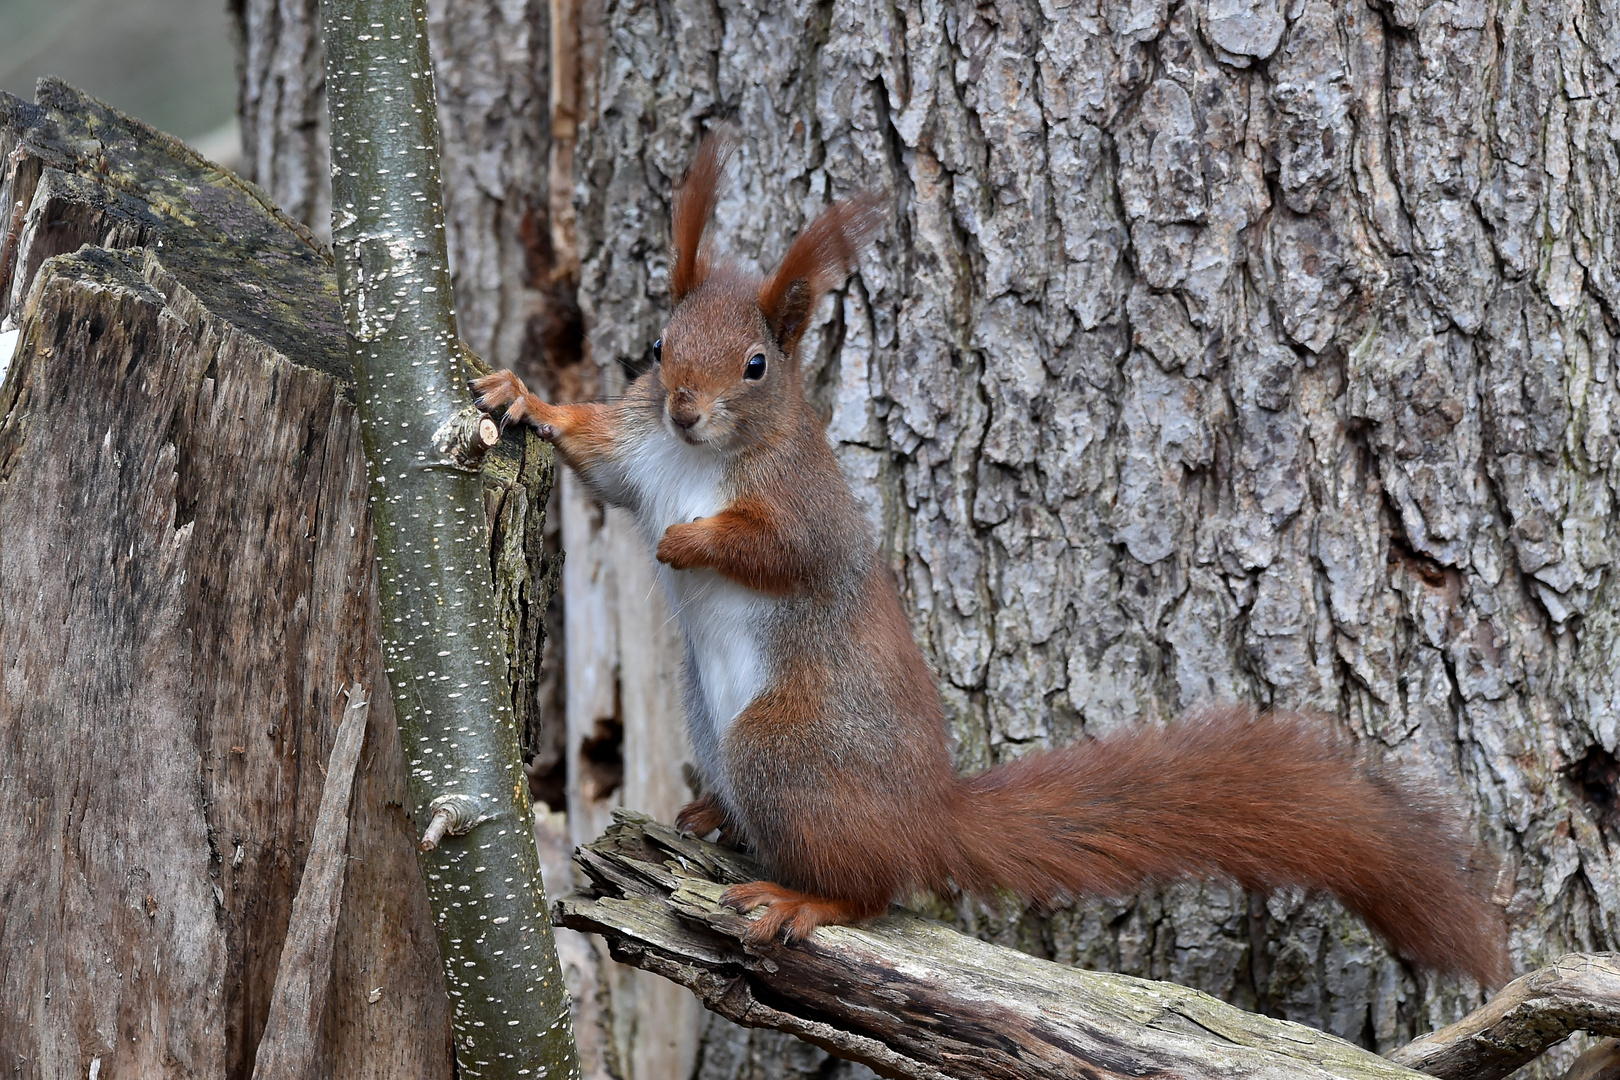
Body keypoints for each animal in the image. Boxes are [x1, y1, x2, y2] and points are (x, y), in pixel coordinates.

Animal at [473, 135, 1509, 990]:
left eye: (758, 366)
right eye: (658, 346)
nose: (686, 408)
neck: (697, 461)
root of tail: (929, 815)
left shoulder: (805, 506)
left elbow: (778, 549)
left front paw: (686, 542)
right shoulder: (640, 452)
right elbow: (597, 457)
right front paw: (522, 395)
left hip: (785, 747)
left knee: (873, 890)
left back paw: (801, 897)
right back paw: (719, 821)